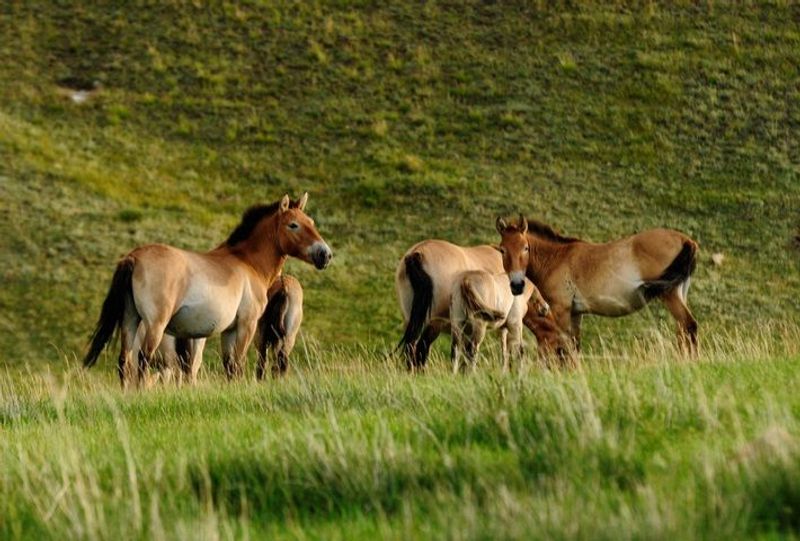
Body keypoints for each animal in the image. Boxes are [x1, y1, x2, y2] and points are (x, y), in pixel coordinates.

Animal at [82, 192, 332, 386]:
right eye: (293, 225)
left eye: (311, 222)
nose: (325, 254)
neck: (247, 262)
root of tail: (134, 257)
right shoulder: (247, 325)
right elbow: (238, 365)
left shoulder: (229, 330)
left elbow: (230, 367)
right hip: (155, 325)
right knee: (143, 361)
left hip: (130, 320)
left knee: (125, 361)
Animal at [394, 238, 568, 370]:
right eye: (562, 349)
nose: (569, 370)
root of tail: (417, 254)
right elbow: (505, 350)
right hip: (434, 324)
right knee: (421, 350)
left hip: (413, 321)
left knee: (412, 348)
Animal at [496, 215, 696, 354]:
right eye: (503, 250)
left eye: (525, 248)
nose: (517, 285)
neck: (556, 258)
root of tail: (686, 240)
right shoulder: (576, 313)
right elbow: (574, 345)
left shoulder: (561, 309)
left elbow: (563, 346)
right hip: (679, 293)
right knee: (683, 331)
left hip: (669, 294)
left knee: (689, 326)